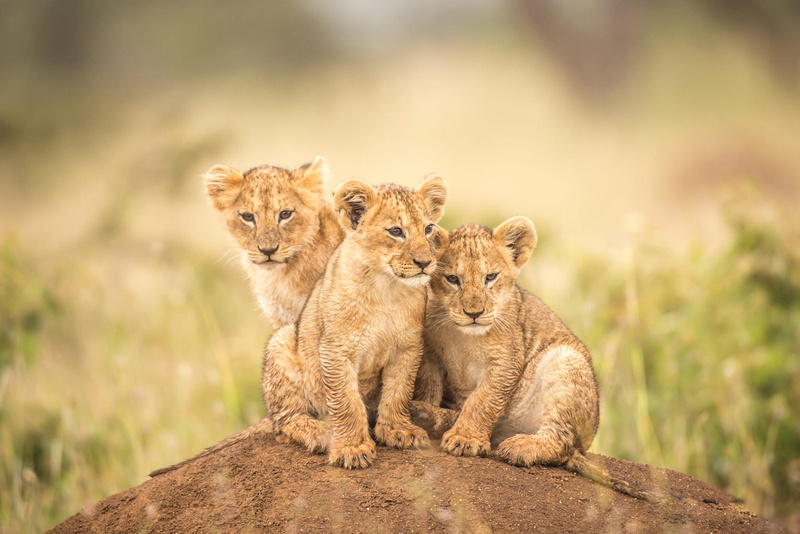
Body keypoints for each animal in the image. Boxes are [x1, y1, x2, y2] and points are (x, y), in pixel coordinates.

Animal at [411, 218, 666, 502]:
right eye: (453, 279)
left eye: (491, 277)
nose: (474, 313)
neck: (463, 336)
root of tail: (583, 450)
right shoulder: (431, 354)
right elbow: (430, 387)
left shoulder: (507, 359)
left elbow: (483, 399)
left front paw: (466, 439)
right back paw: (424, 415)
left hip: (565, 359)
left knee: (560, 445)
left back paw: (520, 446)